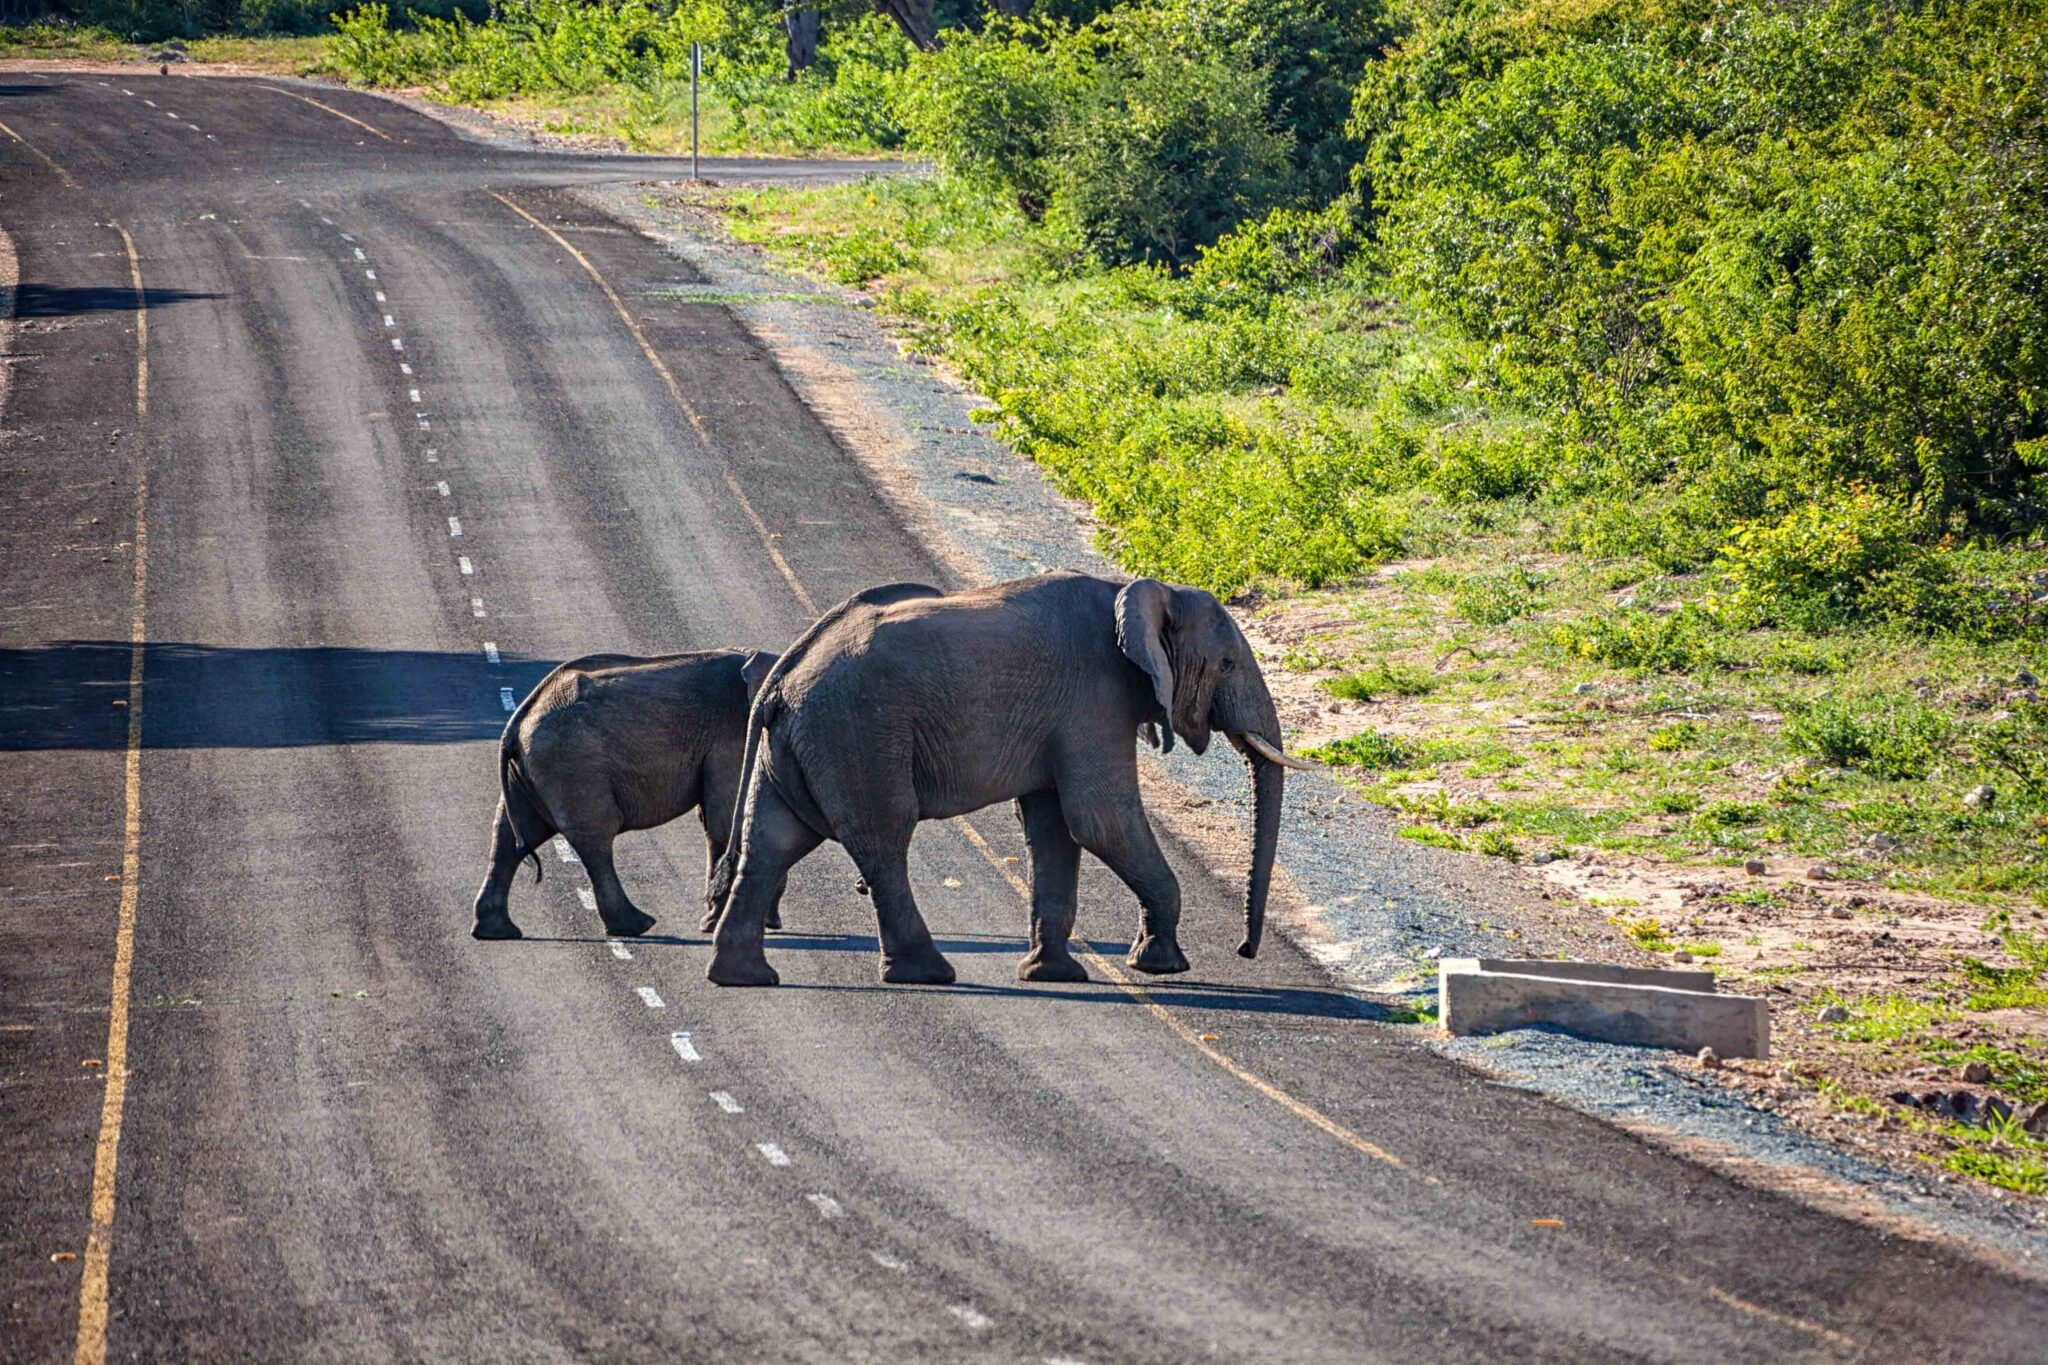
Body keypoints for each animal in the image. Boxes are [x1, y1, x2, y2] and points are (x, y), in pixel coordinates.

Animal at [471, 648, 776, 942]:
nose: (772, 923)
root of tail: (516, 722)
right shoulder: (731, 734)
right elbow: (725, 821)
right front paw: (716, 924)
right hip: (573, 764)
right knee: (595, 837)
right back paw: (636, 925)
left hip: (532, 770)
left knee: (511, 834)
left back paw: (496, 931)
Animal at [703, 571, 1312, 988]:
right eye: (1227, 664)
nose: (1244, 950)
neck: (1141, 589)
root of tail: (781, 677)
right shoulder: (1095, 699)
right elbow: (1100, 821)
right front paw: (1162, 966)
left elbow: (1053, 828)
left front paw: (1052, 974)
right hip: (857, 735)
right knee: (882, 841)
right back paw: (928, 974)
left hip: (805, 742)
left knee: (771, 843)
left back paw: (743, 977)